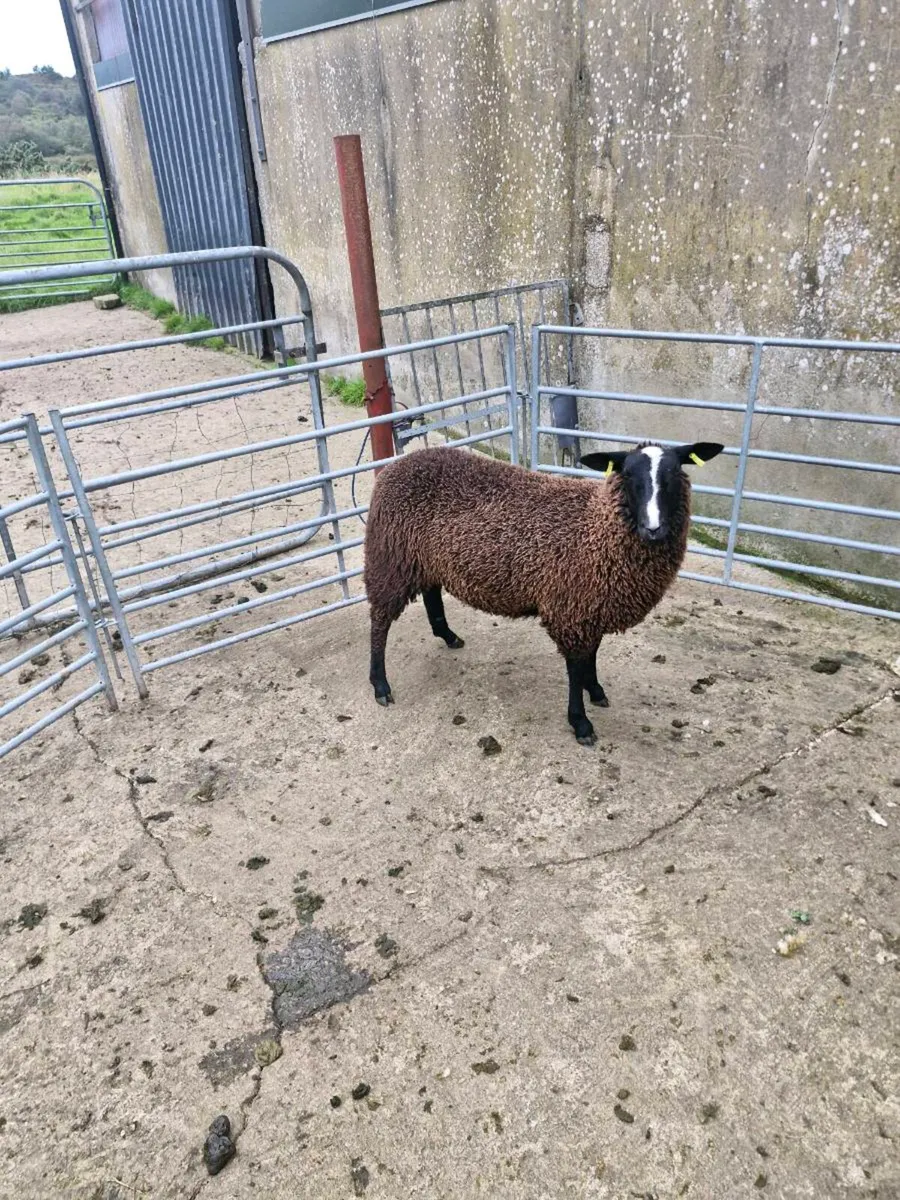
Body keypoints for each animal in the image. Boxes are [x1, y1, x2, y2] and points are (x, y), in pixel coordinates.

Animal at [363, 439, 724, 745]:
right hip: (389, 557)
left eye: (674, 473)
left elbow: (592, 654)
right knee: (380, 621)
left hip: (425, 558)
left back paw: (448, 635)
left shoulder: (591, 604)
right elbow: (575, 667)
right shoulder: (570, 607)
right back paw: (380, 685)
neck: (597, 528)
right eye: (628, 474)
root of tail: (396, 465)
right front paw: (581, 722)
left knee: (430, 592)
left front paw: (596, 690)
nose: (654, 529)